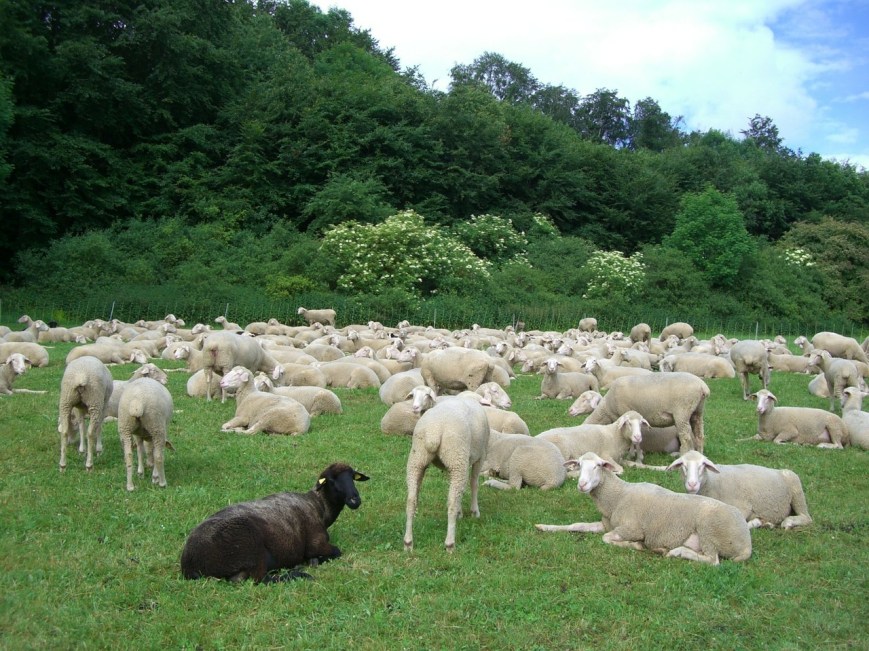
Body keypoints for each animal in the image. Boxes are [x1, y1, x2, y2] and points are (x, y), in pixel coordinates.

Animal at [181, 463, 369, 582]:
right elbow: (336, 551)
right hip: (251, 547)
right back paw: (298, 574)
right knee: (255, 579)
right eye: (332, 480)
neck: (319, 506)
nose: (355, 499)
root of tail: (189, 563)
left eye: (353, 477)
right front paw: (313, 561)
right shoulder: (316, 543)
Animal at [403, 395, 490, 551]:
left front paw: (461, 513)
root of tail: (435, 430)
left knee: (411, 500)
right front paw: (474, 512)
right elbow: (474, 484)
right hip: (457, 458)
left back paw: (408, 542)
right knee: (452, 502)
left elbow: (460, 490)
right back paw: (450, 543)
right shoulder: (481, 456)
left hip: (417, 458)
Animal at [535, 452, 751, 565]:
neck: (618, 496)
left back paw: (675, 551)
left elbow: (607, 538)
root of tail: (747, 543)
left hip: (709, 530)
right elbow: (577, 525)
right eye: (579, 465)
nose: (582, 485)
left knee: (712, 560)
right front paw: (544, 527)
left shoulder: (632, 529)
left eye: (598, 466)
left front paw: (636, 546)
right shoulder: (606, 524)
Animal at [666, 451, 812, 529]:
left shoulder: (743, 507)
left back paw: (788, 522)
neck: (712, 482)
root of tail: (780, 471)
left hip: (796, 490)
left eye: (703, 465)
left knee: (806, 517)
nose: (692, 484)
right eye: (683, 465)